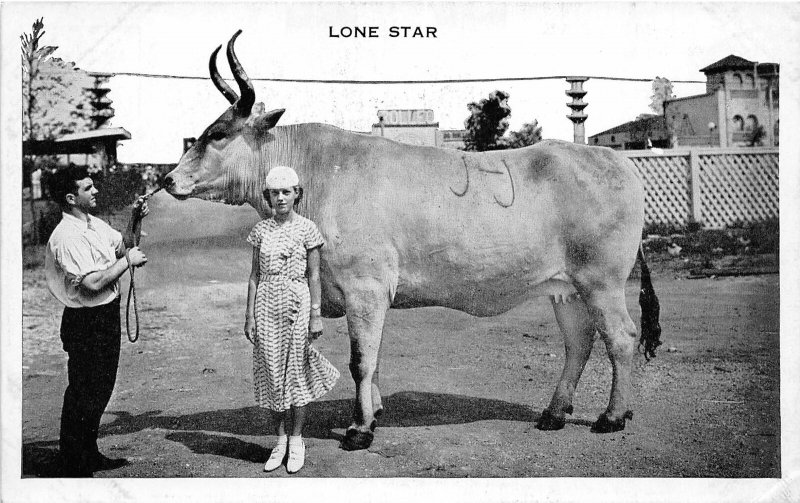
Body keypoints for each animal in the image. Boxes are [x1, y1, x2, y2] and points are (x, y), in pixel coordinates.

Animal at [166, 29, 660, 450]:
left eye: (217, 134)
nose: (169, 179)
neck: (317, 171)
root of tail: (612, 159)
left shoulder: (365, 289)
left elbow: (361, 360)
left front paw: (360, 429)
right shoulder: (363, 296)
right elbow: (374, 356)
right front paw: (374, 411)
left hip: (601, 280)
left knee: (621, 337)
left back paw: (612, 417)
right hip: (566, 288)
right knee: (579, 342)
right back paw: (554, 413)